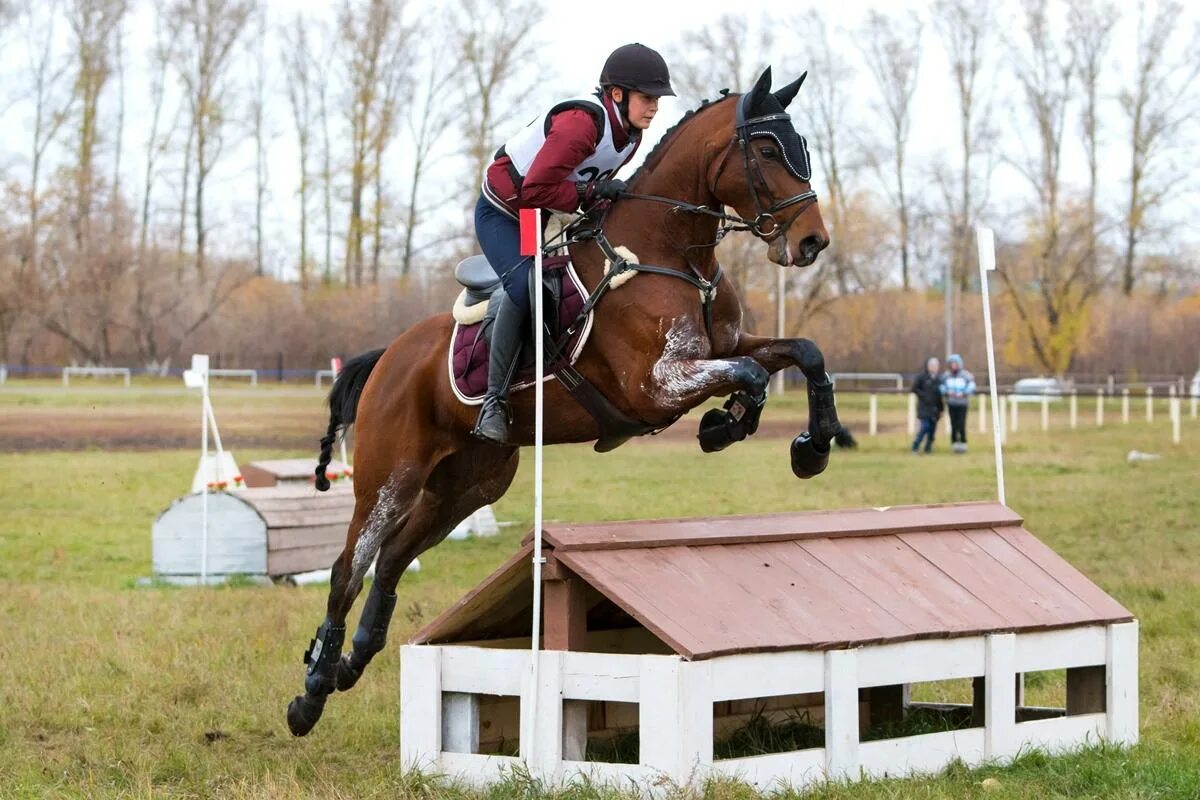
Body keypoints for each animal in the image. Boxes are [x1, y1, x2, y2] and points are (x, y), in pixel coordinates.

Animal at [286, 65, 854, 734]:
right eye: (766, 150)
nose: (813, 242)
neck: (667, 252)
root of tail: (387, 359)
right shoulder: (657, 385)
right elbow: (750, 376)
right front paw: (727, 424)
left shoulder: (730, 346)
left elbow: (803, 354)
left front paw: (810, 447)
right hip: (390, 477)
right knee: (350, 566)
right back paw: (311, 692)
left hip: (469, 484)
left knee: (395, 557)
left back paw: (355, 660)